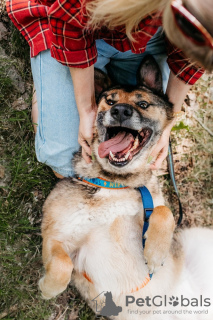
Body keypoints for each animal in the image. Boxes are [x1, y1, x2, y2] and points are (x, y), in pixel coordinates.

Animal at [38, 56, 213, 318]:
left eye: (143, 103)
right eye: (110, 101)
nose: (119, 110)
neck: (114, 182)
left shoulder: (149, 209)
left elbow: (165, 212)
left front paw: (155, 253)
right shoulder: (57, 236)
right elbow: (62, 264)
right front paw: (48, 288)